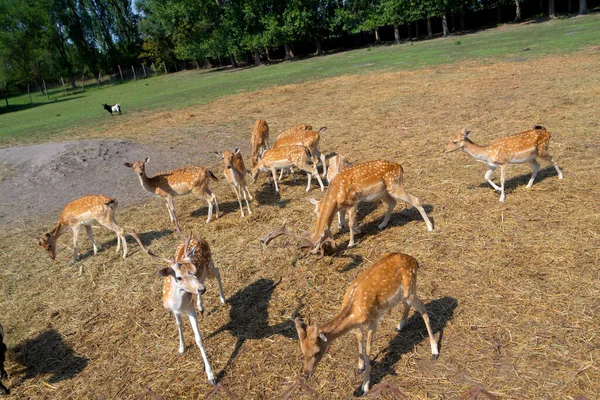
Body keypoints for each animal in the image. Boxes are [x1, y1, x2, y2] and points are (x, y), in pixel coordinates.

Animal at [131, 230, 225, 386]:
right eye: (179, 277)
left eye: (194, 270)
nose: (202, 289)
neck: (179, 304)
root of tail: (197, 238)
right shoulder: (174, 310)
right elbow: (178, 324)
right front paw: (181, 348)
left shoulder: (189, 309)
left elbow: (199, 339)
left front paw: (211, 376)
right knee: (206, 280)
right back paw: (201, 306)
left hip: (209, 264)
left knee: (217, 271)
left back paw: (222, 299)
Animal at [262, 159, 432, 253]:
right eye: (316, 212)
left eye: (318, 246)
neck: (336, 196)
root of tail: (400, 166)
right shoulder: (342, 207)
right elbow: (343, 221)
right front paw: (358, 230)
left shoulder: (353, 202)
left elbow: (349, 223)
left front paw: (351, 243)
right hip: (383, 191)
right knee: (392, 203)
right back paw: (382, 225)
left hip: (395, 185)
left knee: (416, 200)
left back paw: (430, 227)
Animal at [298, 252, 438, 396]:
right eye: (302, 351)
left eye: (317, 352)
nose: (306, 374)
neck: (354, 310)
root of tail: (415, 261)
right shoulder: (358, 324)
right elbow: (359, 339)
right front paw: (360, 367)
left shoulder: (374, 320)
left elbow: (368, 349)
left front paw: (364, 386)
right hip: (404, 294)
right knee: (409, 304)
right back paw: (400, 325)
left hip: (410, 288)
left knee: (422, 308)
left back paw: (434, 351)